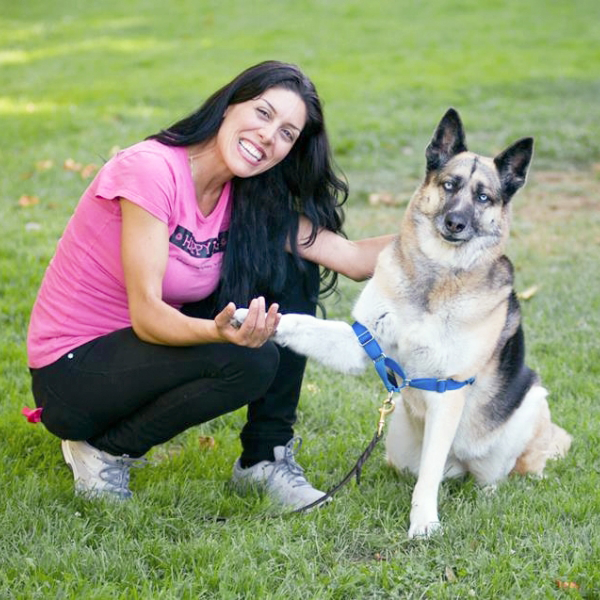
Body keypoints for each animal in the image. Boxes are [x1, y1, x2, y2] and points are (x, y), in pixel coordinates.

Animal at [236, 108, 572, 540]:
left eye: (483, 197)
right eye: (449, 185)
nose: (455, 222)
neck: (435, 277)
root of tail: (460, 466)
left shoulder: (448, 389)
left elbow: (428, 476)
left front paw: (423, 521)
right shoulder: (359, 343)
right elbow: (299, 322)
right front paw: (249, 317)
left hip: (530, 403)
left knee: (503, 471)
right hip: (399, 446)